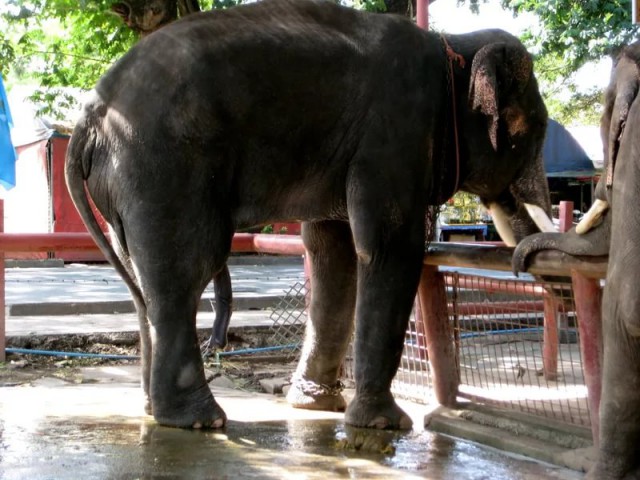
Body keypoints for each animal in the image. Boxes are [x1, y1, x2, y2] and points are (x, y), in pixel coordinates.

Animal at [66, 0, 556, 430]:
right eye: (535, 129)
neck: (452, 46)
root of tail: (88, 120)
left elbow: (332, 254)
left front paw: (317, 407)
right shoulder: (396, 130)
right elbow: (389, 250)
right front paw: (385, 425)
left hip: (123, 188)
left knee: (144, 284)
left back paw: (154, 409)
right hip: (162, 168)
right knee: (186, 273)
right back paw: (199, 421)